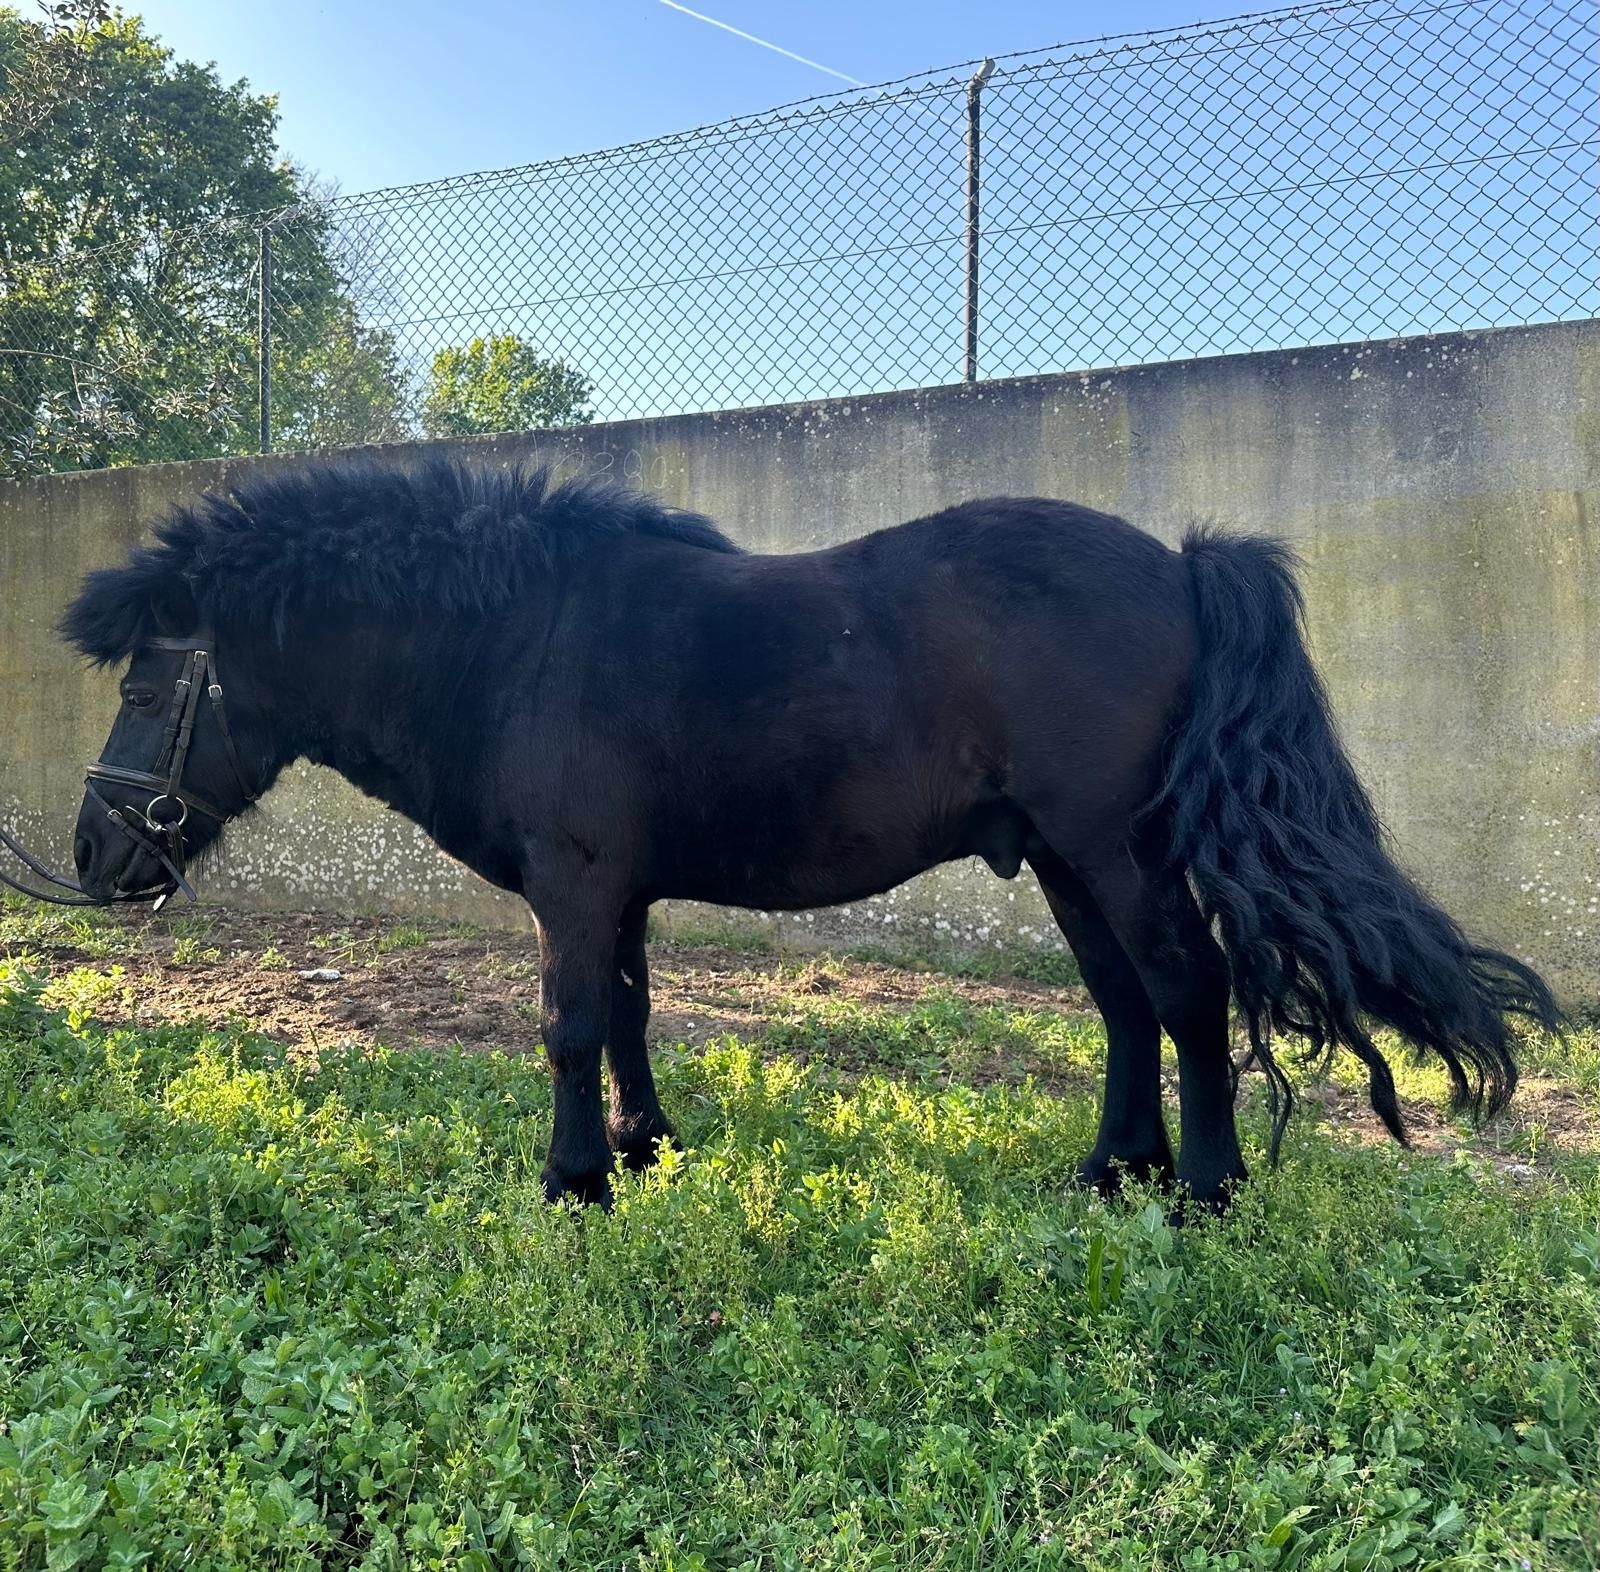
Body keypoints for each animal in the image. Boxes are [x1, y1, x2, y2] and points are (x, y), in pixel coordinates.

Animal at [65, 461, 1561, 1210]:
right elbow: (628, 1013)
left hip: (1116, 853)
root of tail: (1184, 562)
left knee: (1187, 995)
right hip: (1068, 861)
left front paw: (574, 1182)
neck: (518, 638)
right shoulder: (620, 890)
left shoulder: (576, 882)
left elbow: (566, 1024)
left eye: (146, 681)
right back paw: (1110, 1170)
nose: (88, 856)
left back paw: (1200, 1189)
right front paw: (645, 1150)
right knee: (1127, 1006)